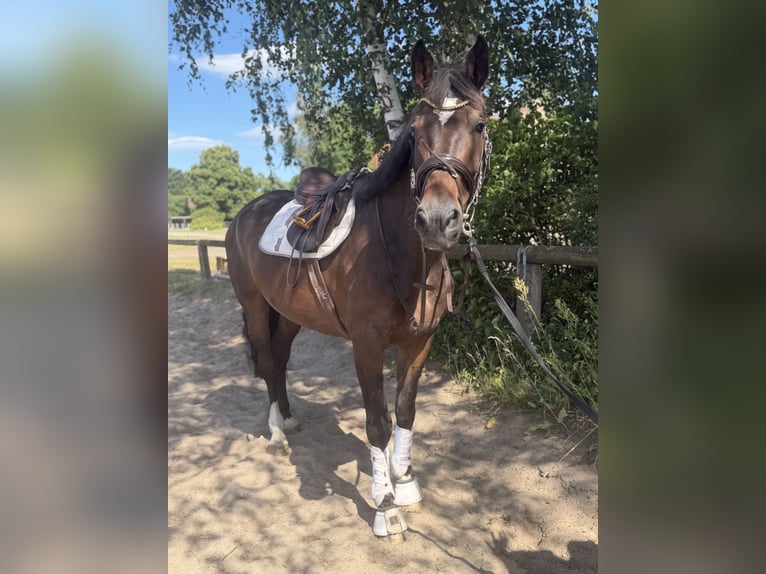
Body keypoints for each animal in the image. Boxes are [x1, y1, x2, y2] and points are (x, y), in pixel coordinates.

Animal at [225, 35, 491, 539]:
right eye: (416, 130)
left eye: (480, 124)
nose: (436, 221)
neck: (405, 259)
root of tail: (244, 212)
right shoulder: (366, 346)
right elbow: (377, 422)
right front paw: (385, 506)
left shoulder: (419, 343)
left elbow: (405, 412)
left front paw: (405, 484)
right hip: (254, 306)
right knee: (267, 361)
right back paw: (275, 433)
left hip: (289, 314)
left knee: (280, 360)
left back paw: (289, 419)